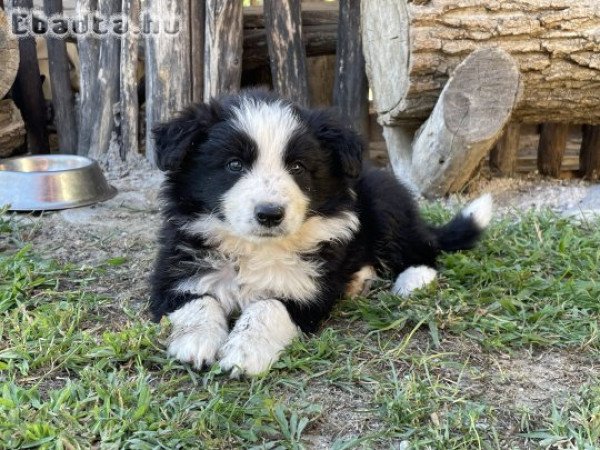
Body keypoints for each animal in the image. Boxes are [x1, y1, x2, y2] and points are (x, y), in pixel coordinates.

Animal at [150, 90, 492, 376]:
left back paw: (412, 279)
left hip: (385, 204)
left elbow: (267, 307)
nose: (270, 214)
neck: (257, 249)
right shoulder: (175, 271)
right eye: (234, 165)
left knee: (423, 247)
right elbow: (198, 301)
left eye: (298, 167)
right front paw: (195, 344)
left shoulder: (307, 289)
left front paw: (245, 353)